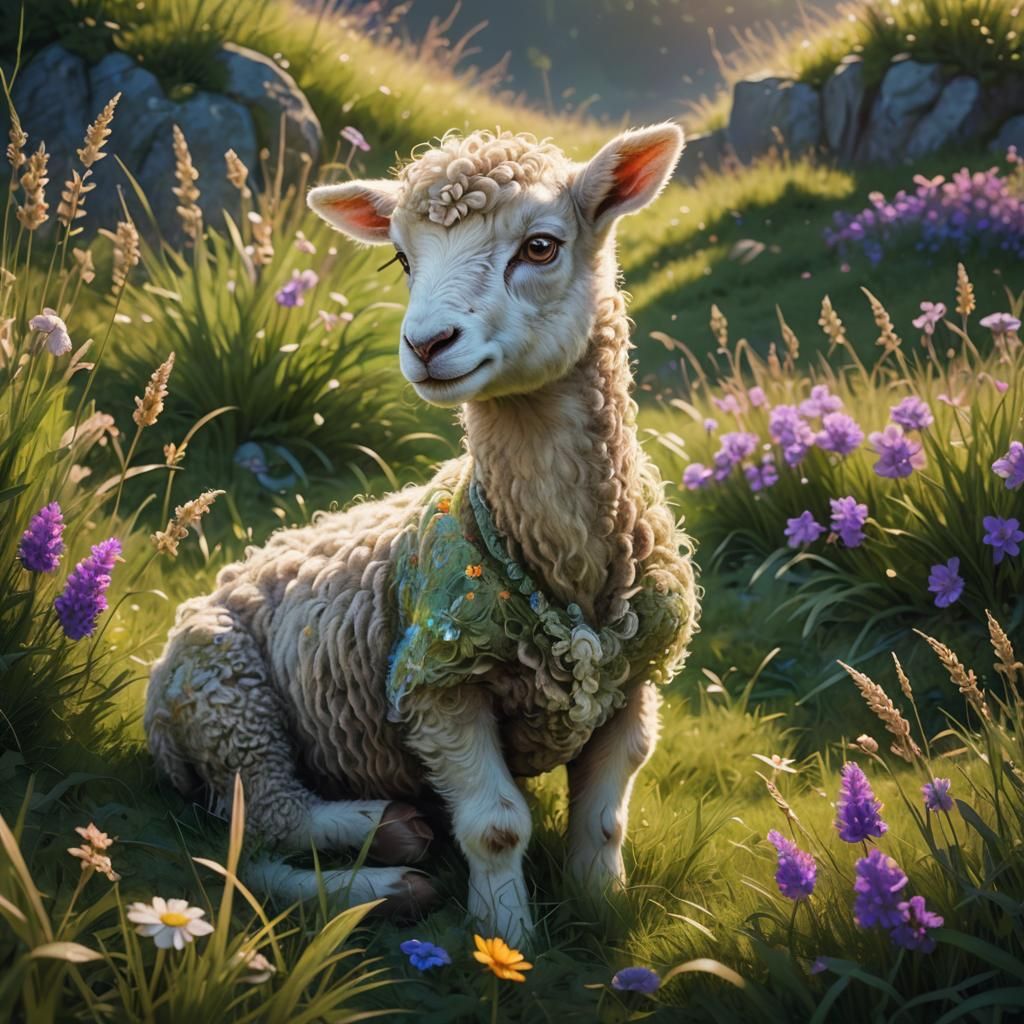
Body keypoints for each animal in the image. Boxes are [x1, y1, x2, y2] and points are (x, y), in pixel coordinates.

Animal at [145, 124, 699, 946]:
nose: (427, 343)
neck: (561, 561)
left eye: (540, 246)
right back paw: (387, 846)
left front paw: (602, 917)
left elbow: (602, 827)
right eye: (403, 259)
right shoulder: (437, 684)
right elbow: (497, 826)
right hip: (227, 696)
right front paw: (506, 938)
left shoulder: (633, 686)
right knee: (263, 820)